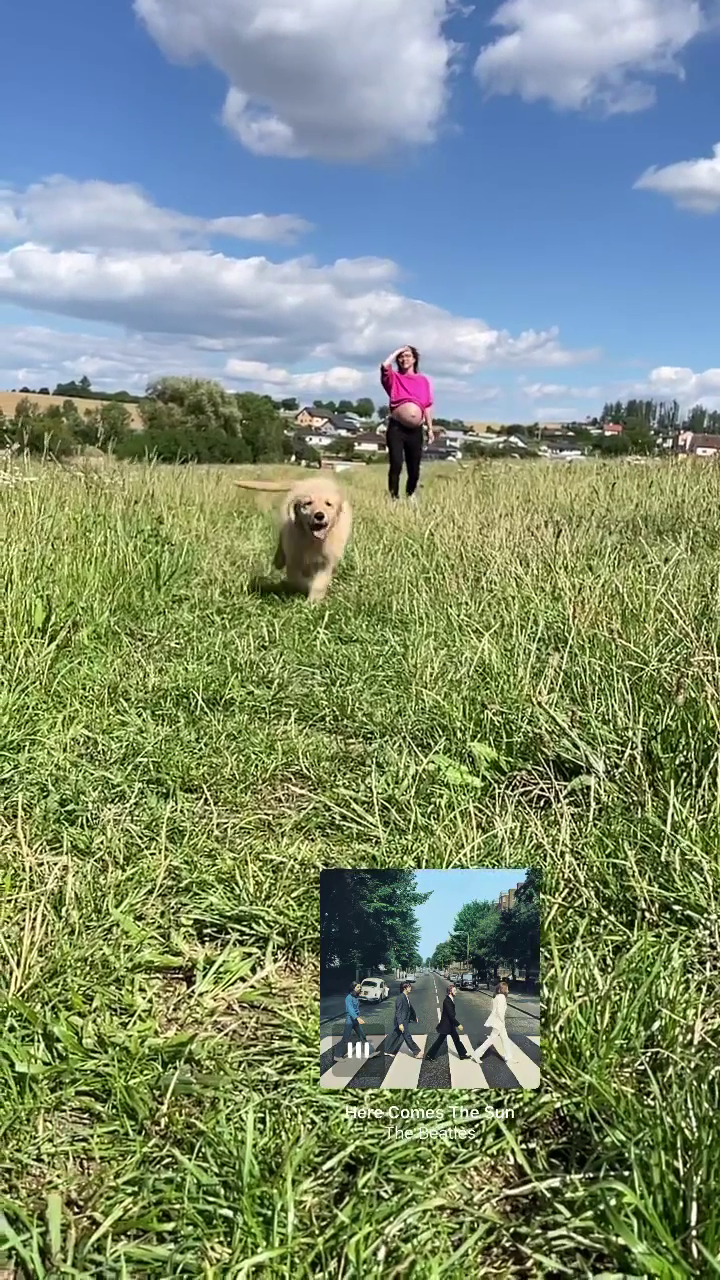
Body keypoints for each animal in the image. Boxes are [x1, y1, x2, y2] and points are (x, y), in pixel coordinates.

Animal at [234, 476, 348, 604]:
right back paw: (278, 561)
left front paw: (313, 602)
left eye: (328, 504)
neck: (312, 540)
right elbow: (297, 579)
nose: (319, 515)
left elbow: (319, 583)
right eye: (308, 503)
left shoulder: (326, 562)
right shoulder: (293, 558)